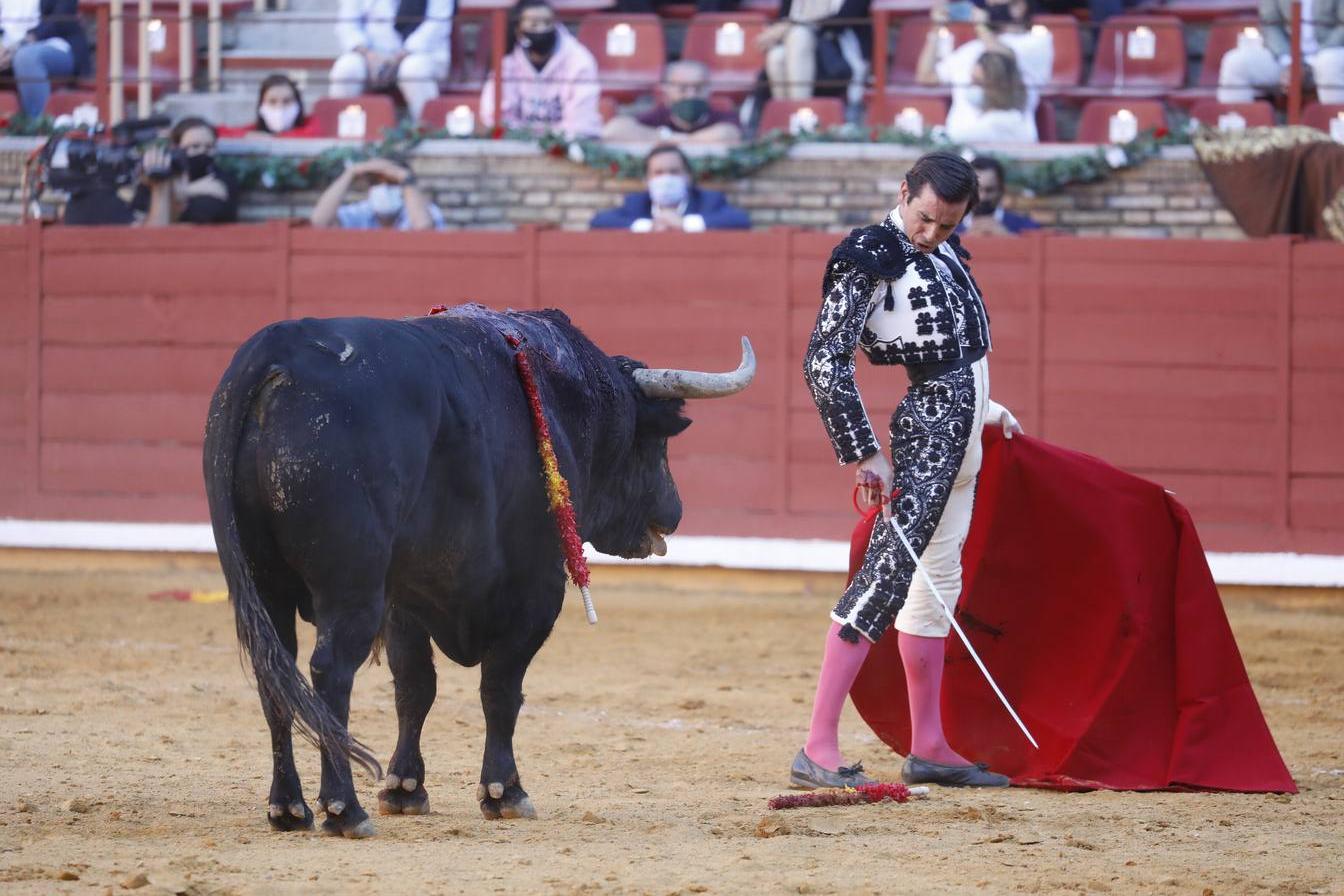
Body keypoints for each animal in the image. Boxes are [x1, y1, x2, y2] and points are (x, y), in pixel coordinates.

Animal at [206, 304, 758, 838]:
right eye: (655, 442)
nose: (674, 511)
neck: (566, 399)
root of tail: (280, 348)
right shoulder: (536, 591)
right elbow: (501, 689)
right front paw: (504, 792)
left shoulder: (403, 597)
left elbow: (415, 687)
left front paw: (404, 788)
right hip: (351, 586)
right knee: (331, 672)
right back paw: (345, 809)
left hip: (267, 585)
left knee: (274, 673)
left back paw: (289, 807)